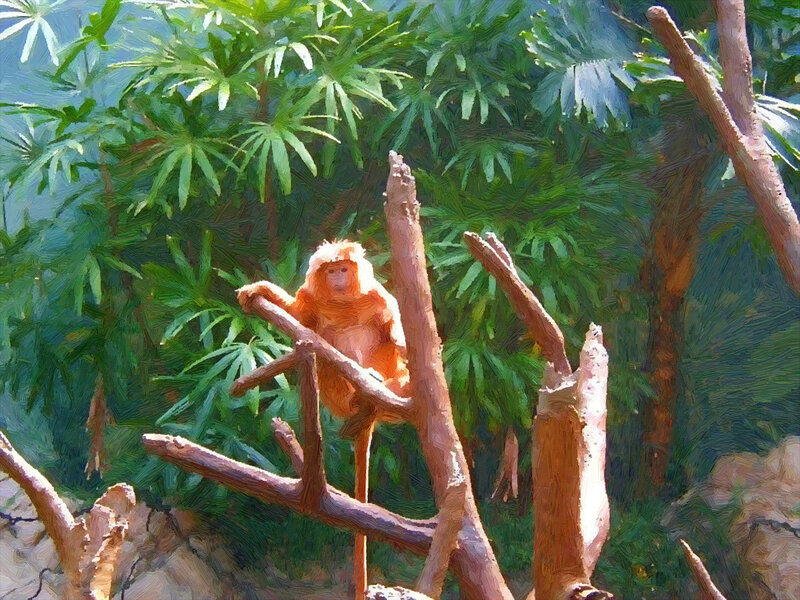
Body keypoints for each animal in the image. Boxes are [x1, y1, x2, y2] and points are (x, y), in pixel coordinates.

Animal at [236, 240, 409, 600]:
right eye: (331, 271)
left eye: (343, 268)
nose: (339, 277)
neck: (343, 302)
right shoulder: (312, 298)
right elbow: (300, 316)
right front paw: (261, 290)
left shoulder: (375, 294)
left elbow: (392, 323)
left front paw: (402, 338)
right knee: (321, 352)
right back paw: (359, 407)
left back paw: (377, 395)